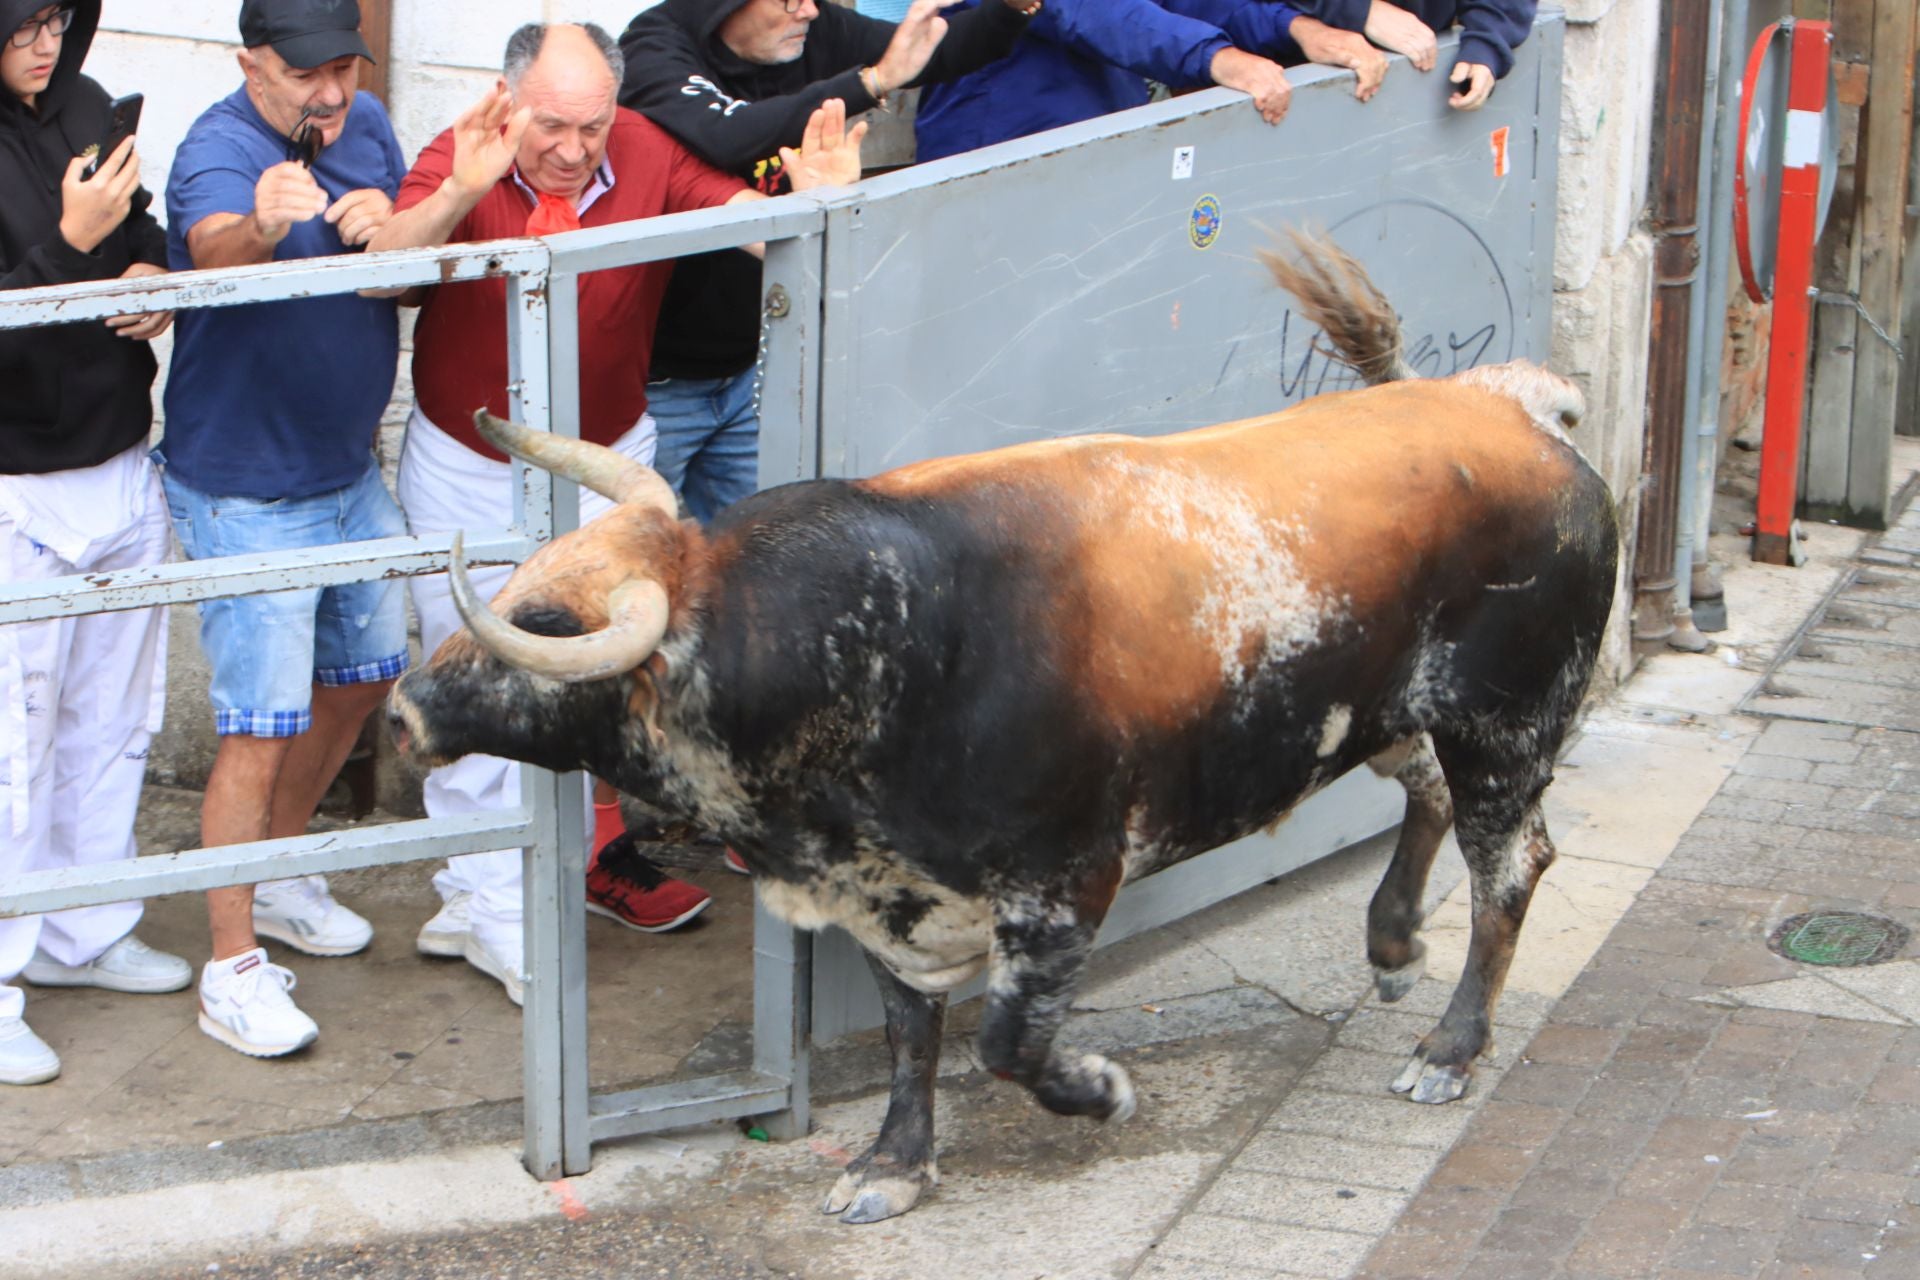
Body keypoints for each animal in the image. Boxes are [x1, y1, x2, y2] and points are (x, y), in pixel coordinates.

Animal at [389, 235, 1620, 1228]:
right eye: (524, 586)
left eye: (546, 626)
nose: (402, 708)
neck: (879, 640)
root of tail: (1505, 403)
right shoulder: (891, 896)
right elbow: (911, 1036)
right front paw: (894, 1165)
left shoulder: (1064, 884)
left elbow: (1003, 1042)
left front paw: (1100, 1091)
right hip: (1395, 714)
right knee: (1429, 797)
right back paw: (1394, 943)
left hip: (1509, 723)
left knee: (1511, 864)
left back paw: (1451, 1047)